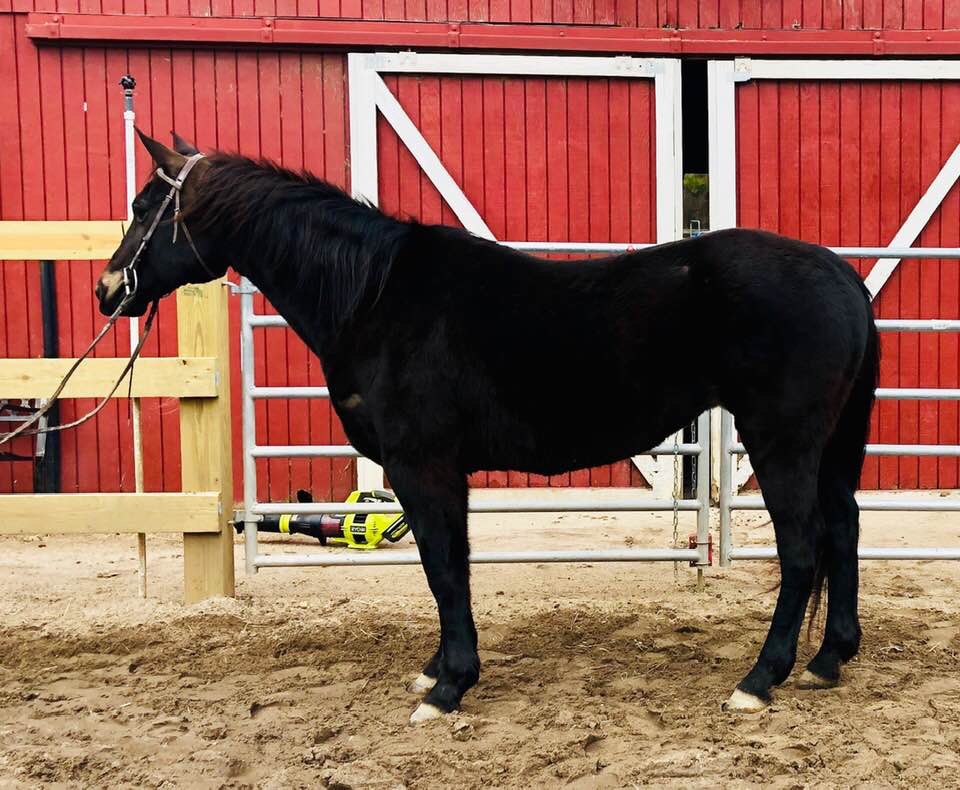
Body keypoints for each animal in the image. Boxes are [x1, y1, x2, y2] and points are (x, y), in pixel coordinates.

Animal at [97, 131, 878, 722]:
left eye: (143, 206)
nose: (108, 290)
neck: (375, 295)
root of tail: (842, 278)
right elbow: (452, 567)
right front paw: (437, 669)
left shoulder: (423, 468)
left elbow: (443, 570)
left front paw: (448, 688)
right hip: (831, 450)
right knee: (843, 530)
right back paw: (827, 659)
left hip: (782, 445)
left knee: (802, 551)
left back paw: (759, 680)